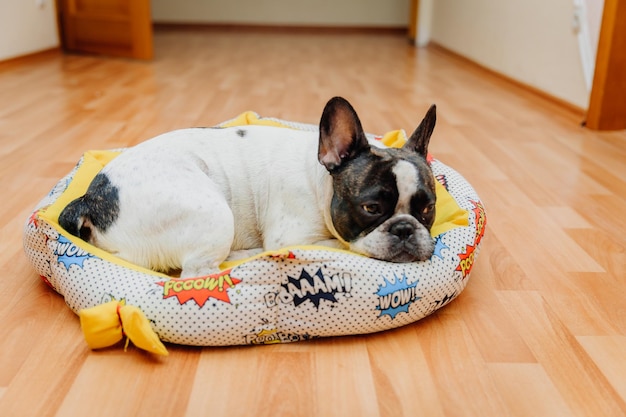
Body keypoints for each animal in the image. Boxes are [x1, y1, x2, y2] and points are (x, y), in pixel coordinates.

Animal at [61, 97, 436, 276]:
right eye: (371, 208)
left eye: (427, 208)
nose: (405, 229)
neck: (320, 182)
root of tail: (90, 199)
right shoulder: (292, 238)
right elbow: (342, 246)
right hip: (214, 213)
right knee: (197, 272)